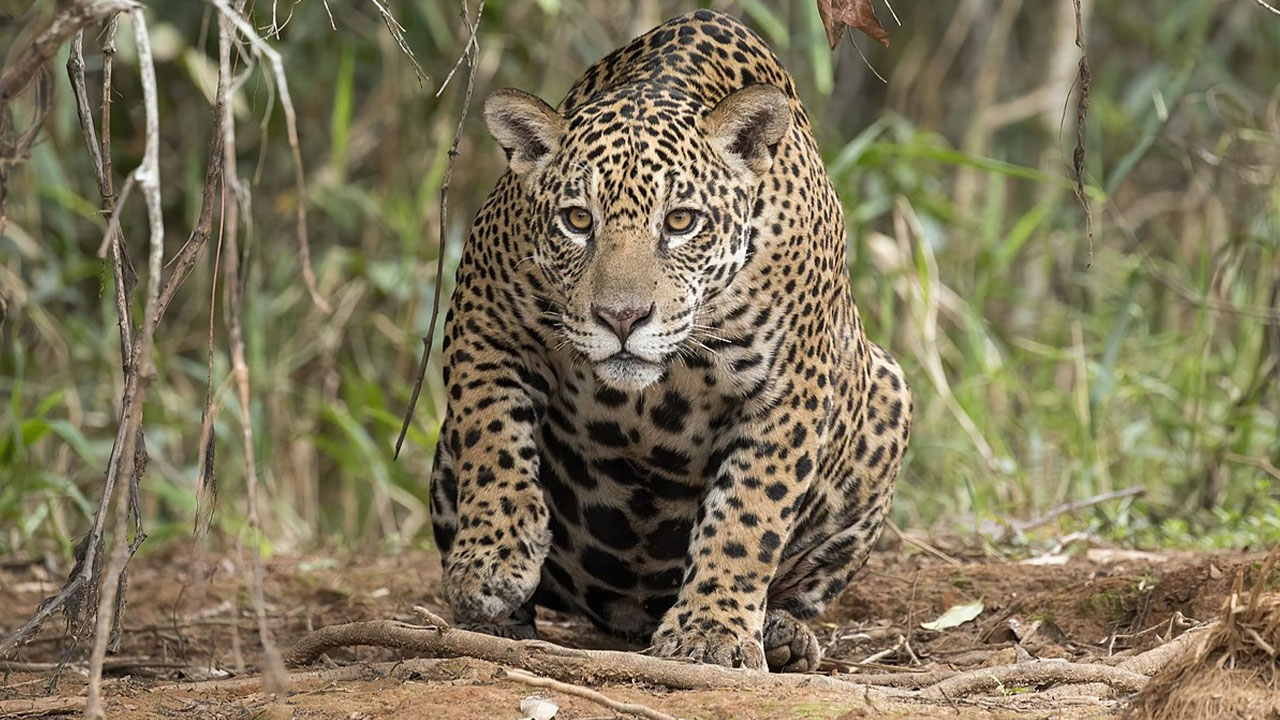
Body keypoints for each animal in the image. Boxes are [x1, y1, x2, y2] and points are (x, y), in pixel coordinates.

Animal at [428, 8, 911, 673]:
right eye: (577, 220)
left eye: (681, 221)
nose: (621, 318)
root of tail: (628, 614)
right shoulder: (483, 315)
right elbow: (491, 434)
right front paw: (491, 561)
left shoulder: (789, 389)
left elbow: (748, 512)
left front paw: (711, 630)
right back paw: (496, 623)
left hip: (888, 392)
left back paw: (782, 634)